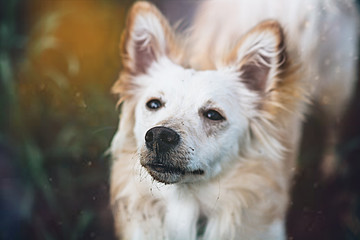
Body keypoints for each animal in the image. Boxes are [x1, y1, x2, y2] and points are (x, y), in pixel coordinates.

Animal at [109, 0, 358, 239]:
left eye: (213, 115)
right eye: (153, 104)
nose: (159, 135)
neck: (186, 205)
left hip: (334, 92)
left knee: (334, 129)